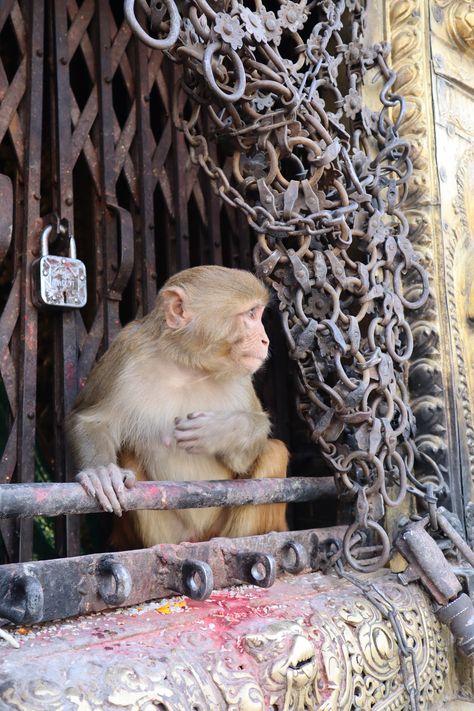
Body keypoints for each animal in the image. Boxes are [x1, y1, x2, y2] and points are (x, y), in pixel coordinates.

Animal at [66, 264, 288, 548]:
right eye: (250, 314)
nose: (264, 340)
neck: (189, 366)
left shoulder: (242, 375)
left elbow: (255, 434)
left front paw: (221, 432)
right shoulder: (127, 349)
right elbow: (91, 419)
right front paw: (101, 472)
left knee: (274, 451)